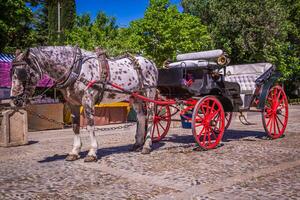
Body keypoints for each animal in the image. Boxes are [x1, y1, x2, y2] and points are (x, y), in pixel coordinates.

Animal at [10, 45, 158, 162]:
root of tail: (150, 61)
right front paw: (74, 152)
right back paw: (138, 144)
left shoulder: (87, 101)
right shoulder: (73, 104)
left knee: (151, 117)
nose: (14, 101)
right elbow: (75, 127)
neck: (77, 70)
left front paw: (92, 152)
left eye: (23, 73)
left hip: (149, 93)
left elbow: (90, 126)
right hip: (135, 96)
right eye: (11, 73)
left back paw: (146, 145)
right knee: (141, 117)